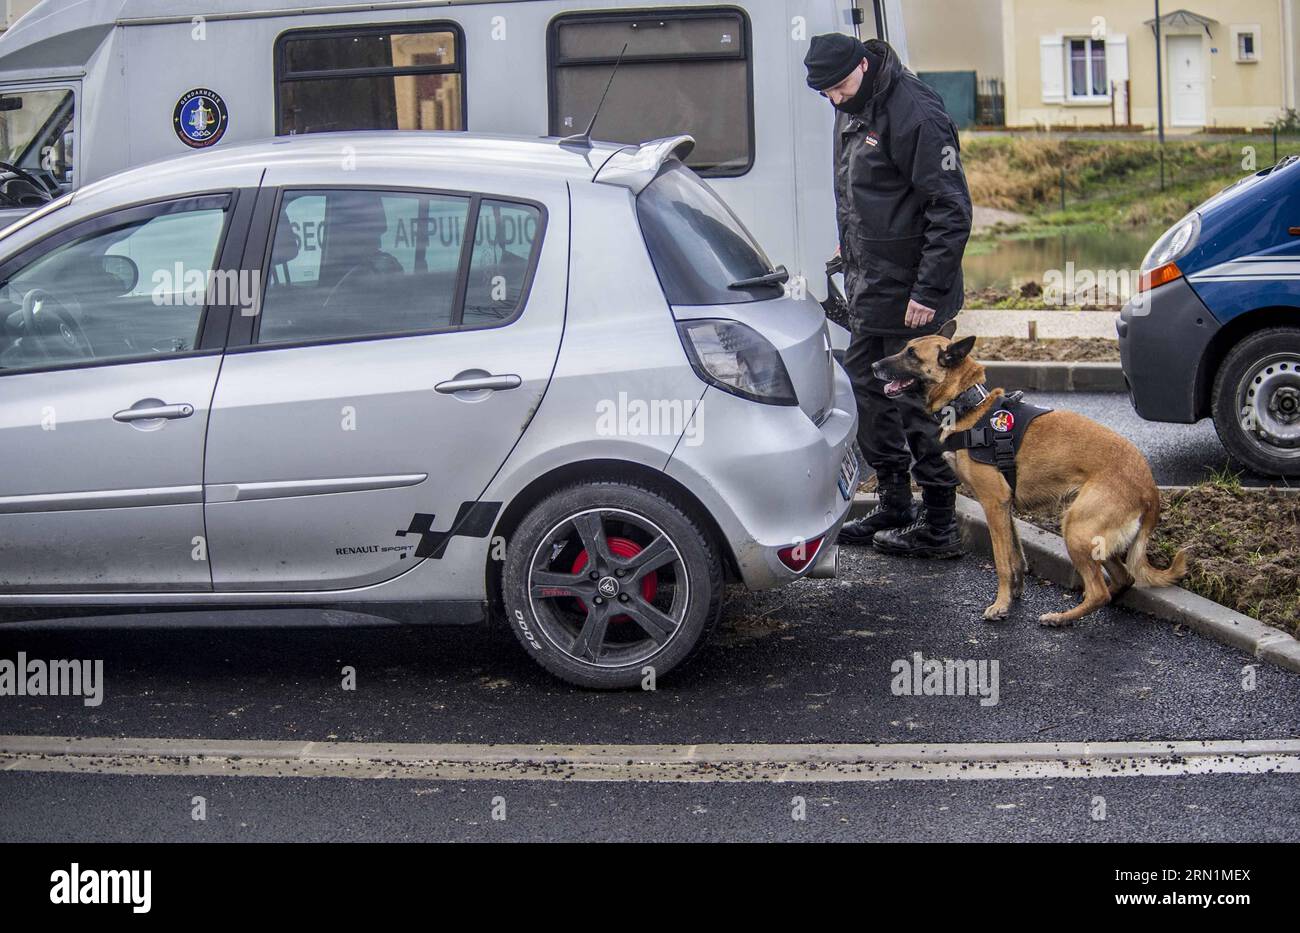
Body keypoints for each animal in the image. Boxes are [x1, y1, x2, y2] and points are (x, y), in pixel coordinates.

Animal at [873, 324, 1190, 623]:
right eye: (905, 347)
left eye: (912, 354)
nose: (874, 365)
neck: (969, 405)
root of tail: (1149, 487)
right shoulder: (1006, 507)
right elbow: (1016, 557)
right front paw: (1013, 596)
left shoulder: (994, 503)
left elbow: (1002, 561)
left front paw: (1000, 605)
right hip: (1096, 538)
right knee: (1124, 579)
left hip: (1075, 528)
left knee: (1099, 591)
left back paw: (1061, 618)